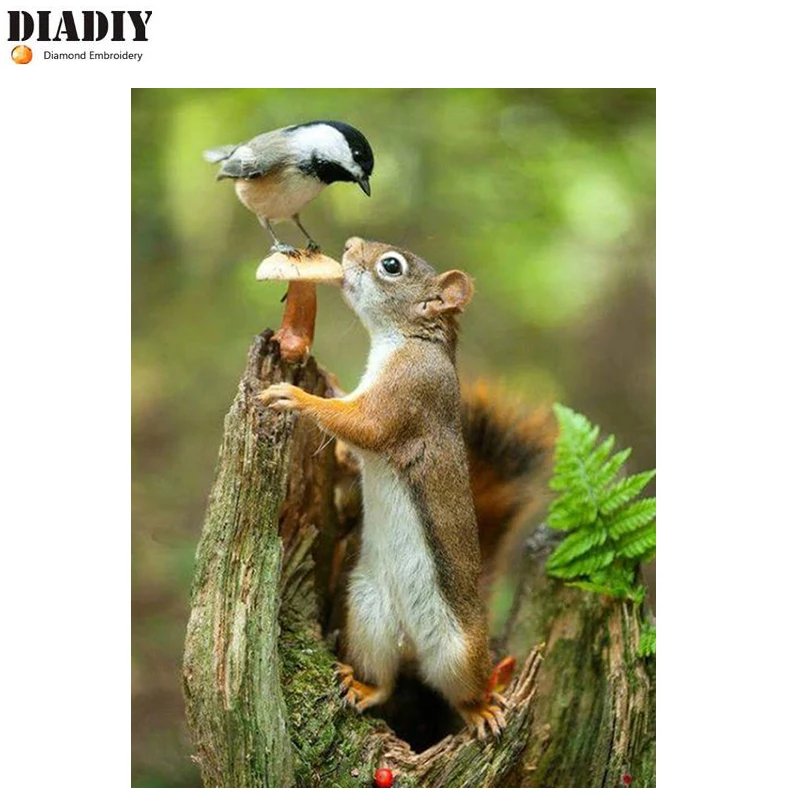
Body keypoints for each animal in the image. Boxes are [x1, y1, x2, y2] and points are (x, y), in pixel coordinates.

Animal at [260, 236, 554, 739]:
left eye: (391, 266)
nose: (349, 245)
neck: (406, 340)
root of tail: (411, 641)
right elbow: (353, 442)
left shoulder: (407, 394)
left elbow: (363, 426)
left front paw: (296, 397)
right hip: (367, 614)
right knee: (386, 679)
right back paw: (362, 686)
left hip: (459, 651)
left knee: (462, 690)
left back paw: (482, 709)